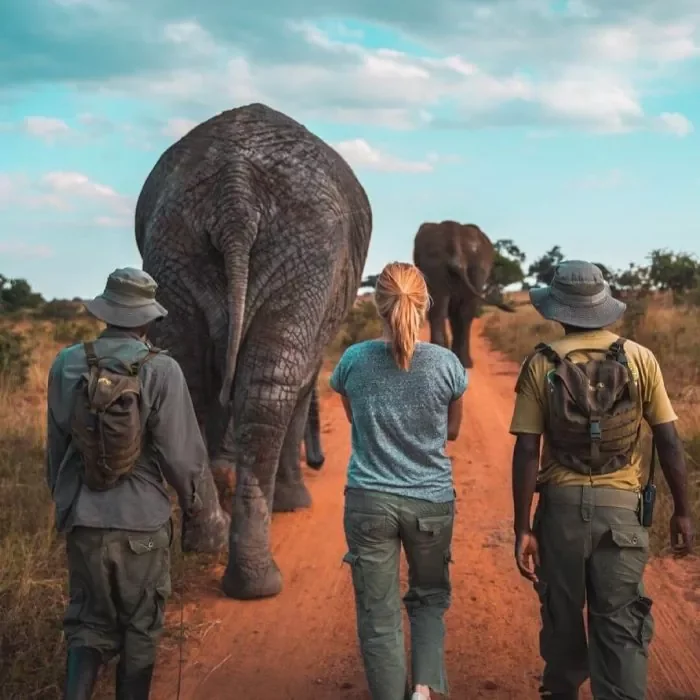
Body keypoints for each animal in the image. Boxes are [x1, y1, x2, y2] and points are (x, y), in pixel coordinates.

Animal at [134, 102, 372, 600]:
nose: (320, 461)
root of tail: (236, 189)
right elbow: (298, 387)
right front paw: (294, 503)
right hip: (305, 250)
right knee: (272, 387)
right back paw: (257, 582)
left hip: (177, 242)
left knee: (192, 378)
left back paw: (208, 540)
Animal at [413, 220, 515, 368]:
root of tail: (453, 230)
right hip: (462, 266)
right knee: (455, 311)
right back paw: (462, 361)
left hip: (459, 265)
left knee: (447, 309)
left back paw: (458, 359)